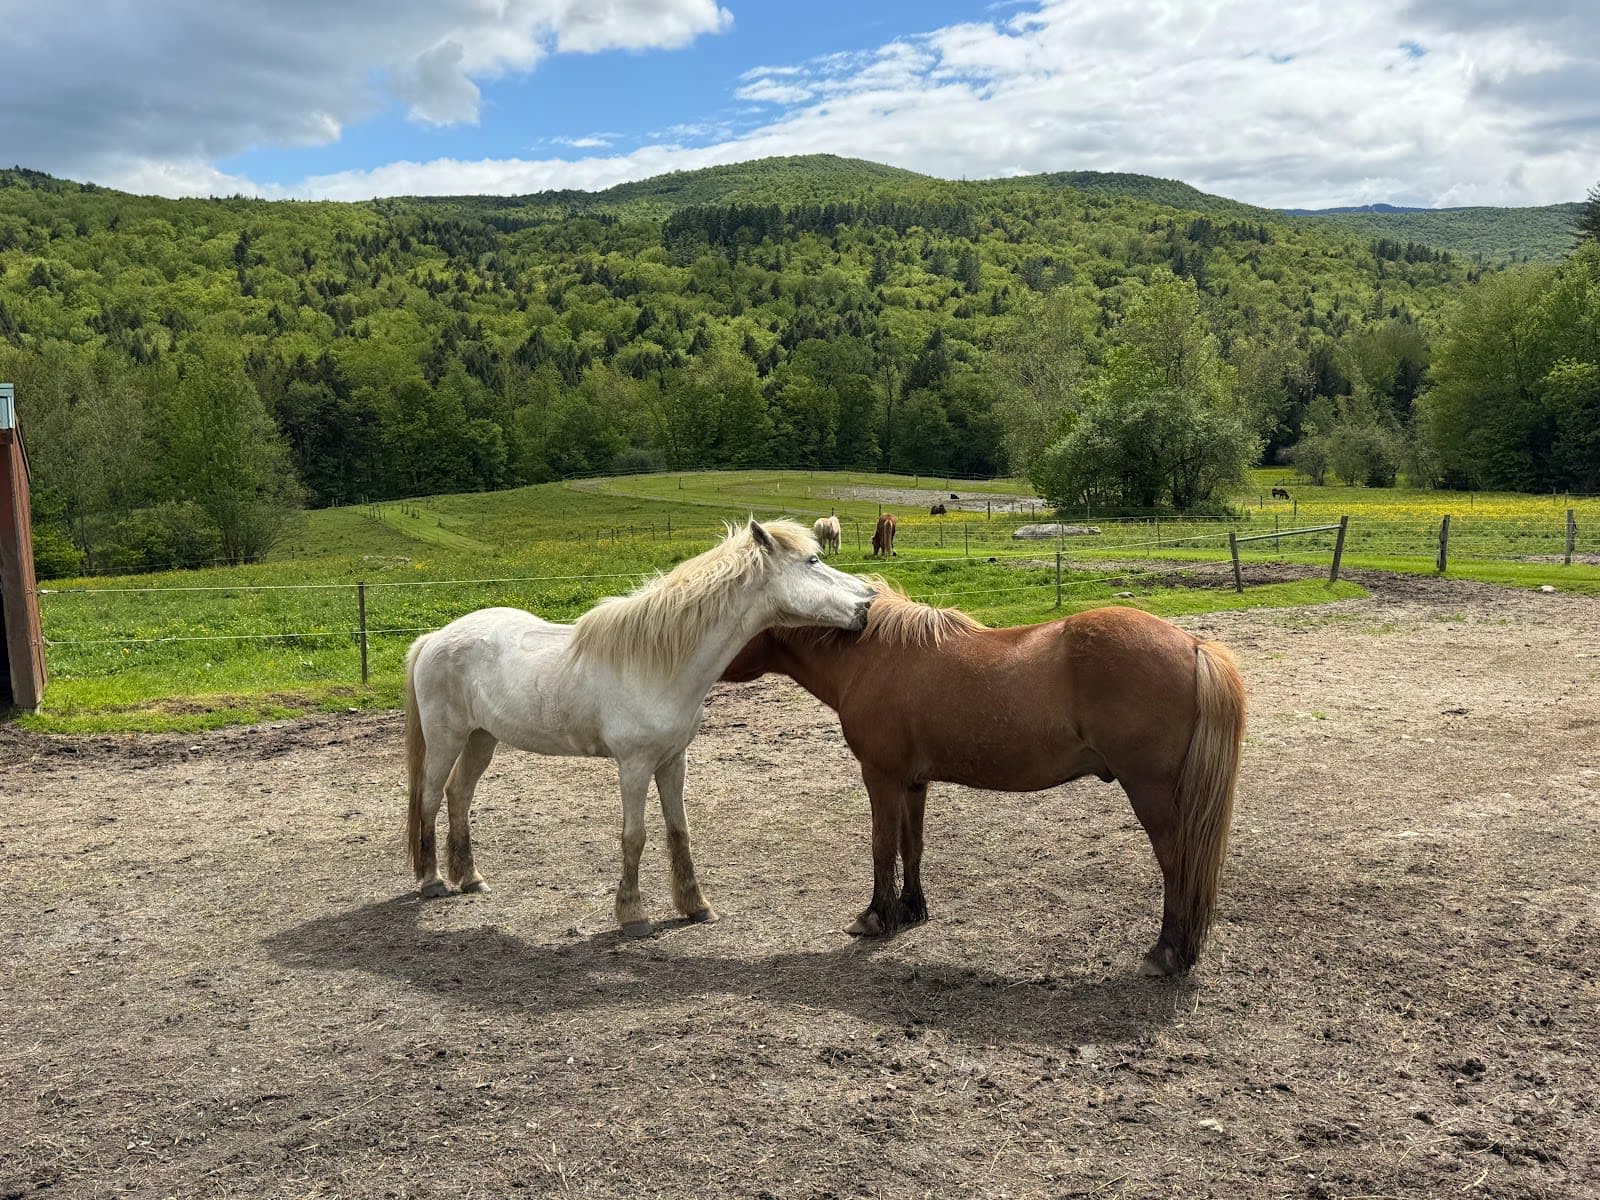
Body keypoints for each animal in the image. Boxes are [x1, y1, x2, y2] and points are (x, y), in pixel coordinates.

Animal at [404, 519, 877, 936]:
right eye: (813, 561)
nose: (869, 600)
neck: (658, 664)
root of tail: (433, 638)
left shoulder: (673, 760)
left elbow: (678, 831)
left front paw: (695, 906)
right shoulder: (634, 765)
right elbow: (634, 836)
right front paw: (633, 915)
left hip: (481, 739)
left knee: (459, 795)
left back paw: (470, 878)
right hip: (446, 739)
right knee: (429, 797)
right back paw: (431, 881)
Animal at [721, 582, 1246, 975]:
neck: (871, 655)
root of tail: (1195, 646)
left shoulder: (881, 777)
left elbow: (881, 847)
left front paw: (874, 918)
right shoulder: (913, 782)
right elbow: (911, 846)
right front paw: (910, 910)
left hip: (1151, 792)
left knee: (1177, 862)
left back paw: (1167, 952)